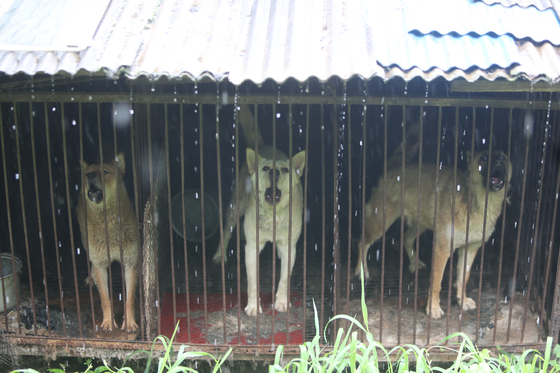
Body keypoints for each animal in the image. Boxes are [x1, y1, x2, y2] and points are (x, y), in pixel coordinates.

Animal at [76, 152, 139, 332]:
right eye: (87, 174)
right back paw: (91, 278)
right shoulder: (100, 264)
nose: (90, 176)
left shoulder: (131, 263)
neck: (108, 222)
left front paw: (129, 323)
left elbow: (129, 299)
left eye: (104, 172)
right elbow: (105, 299)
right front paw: (108, 322)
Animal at [212, 106, 306, 316]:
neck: (273, 215)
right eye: (265, 168)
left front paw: (281, 302)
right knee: (227, 229)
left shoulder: (290, 247)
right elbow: (252, 282)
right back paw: (220, 255)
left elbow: (284, 279)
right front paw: (254, 306)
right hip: (235, 207)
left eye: (285, 170)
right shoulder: (251, 248)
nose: (274, 172)